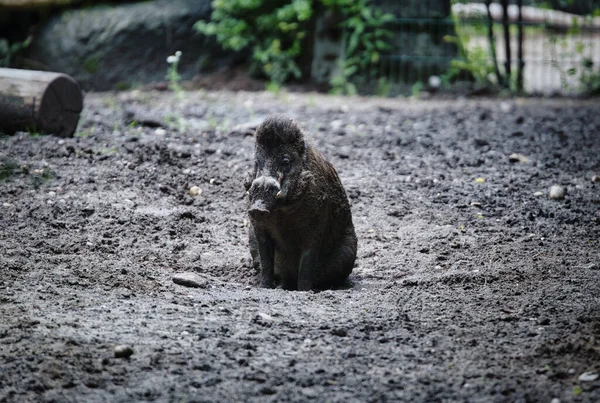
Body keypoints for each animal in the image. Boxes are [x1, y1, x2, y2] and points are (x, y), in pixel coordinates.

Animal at [245, 114, 356, 290]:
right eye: (257, 163)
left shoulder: (315, 229)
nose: (258, 209)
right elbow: (266, 262)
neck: (281, 214)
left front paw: (304, 291)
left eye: (285, 162)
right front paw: (264, 287)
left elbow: (306, 265)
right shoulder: (258, 229)